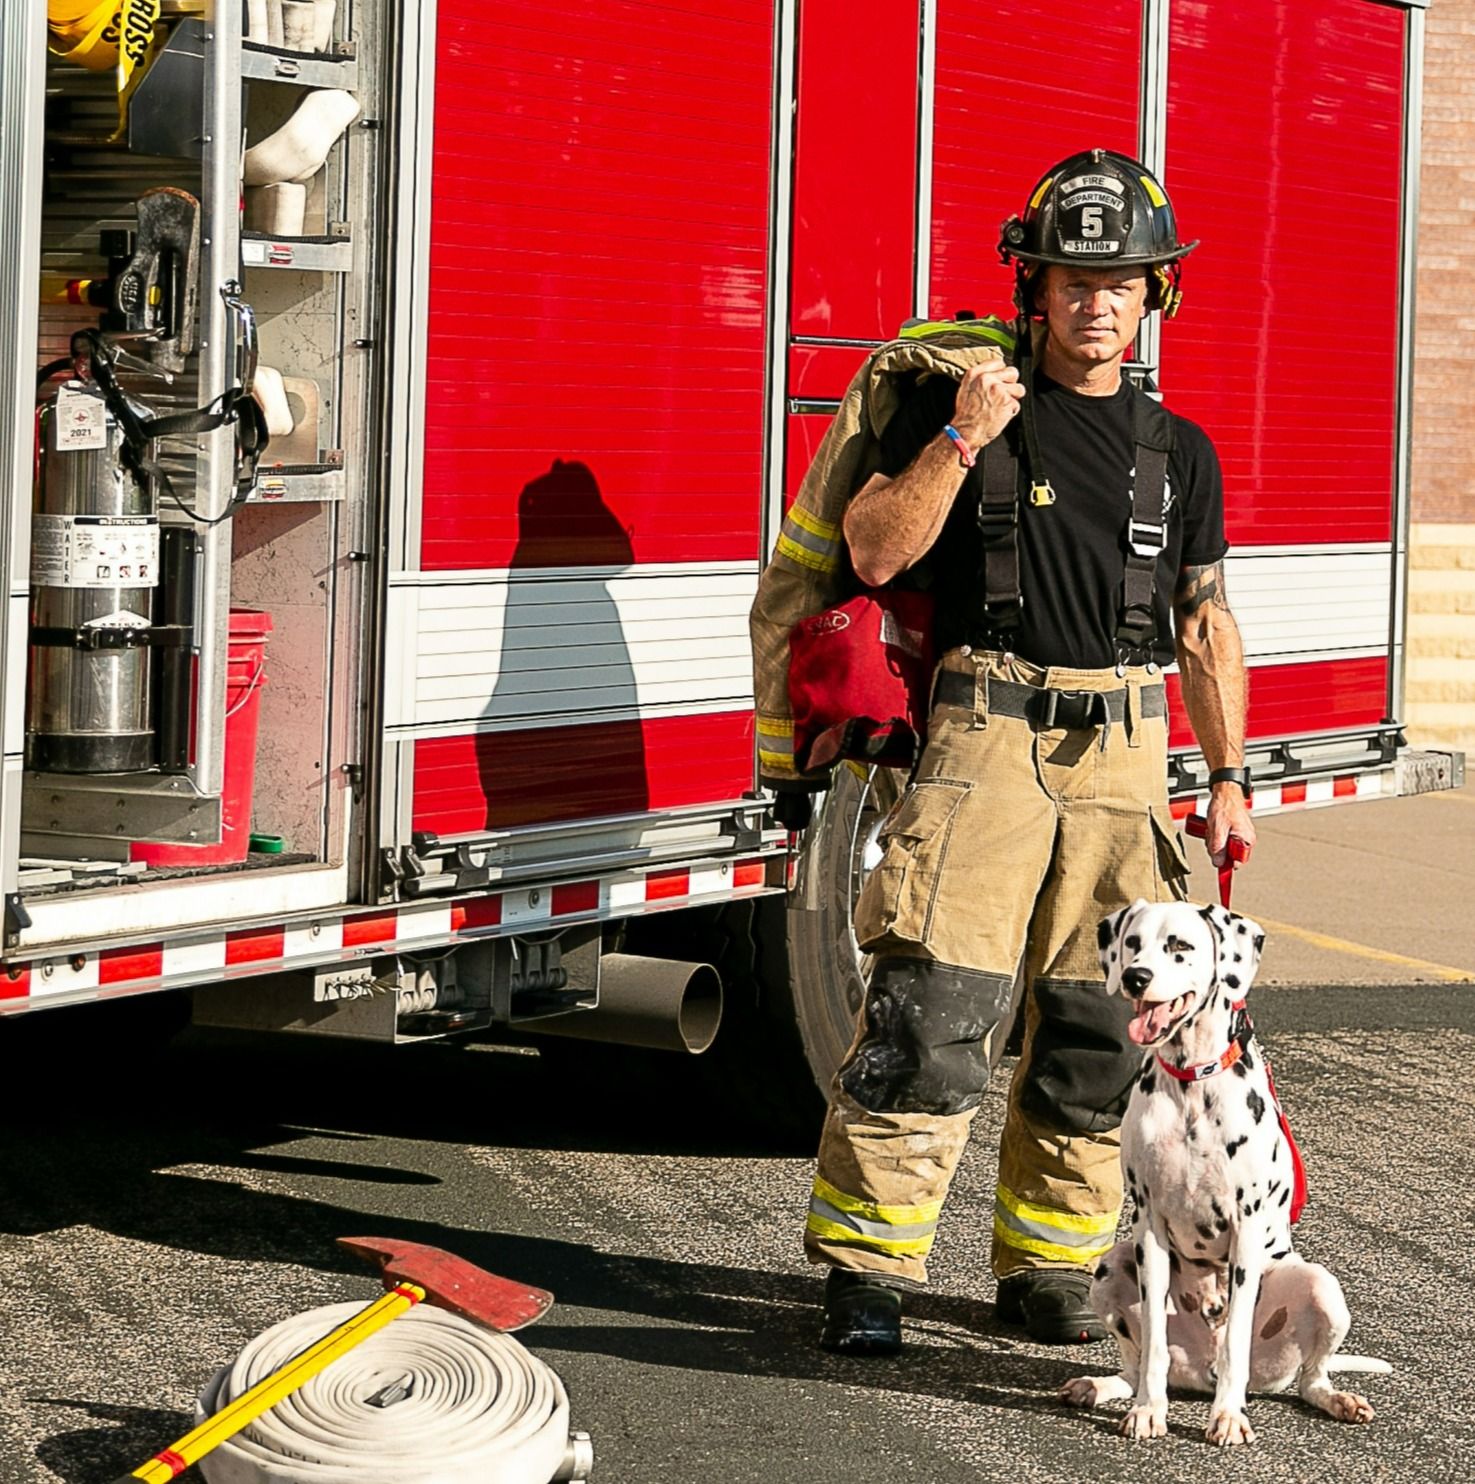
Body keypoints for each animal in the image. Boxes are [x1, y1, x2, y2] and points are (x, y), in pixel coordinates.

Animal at [1056, 896, 1377, 1442]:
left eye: (1179, 946)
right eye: (1133, 943)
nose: (1136, 977)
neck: (1192, 1085)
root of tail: (1198, 1372)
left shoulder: (1245, 1230)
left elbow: (1236, 1344)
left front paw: (1227, 1416)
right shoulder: (1149, 1227)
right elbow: (1153, 1347)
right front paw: (1148, 1410)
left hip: (1321, 1287)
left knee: (1310, 1379)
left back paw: (1336, 1399)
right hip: (1111, 1266)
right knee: (1134, 1363)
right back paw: (1099, 1387)